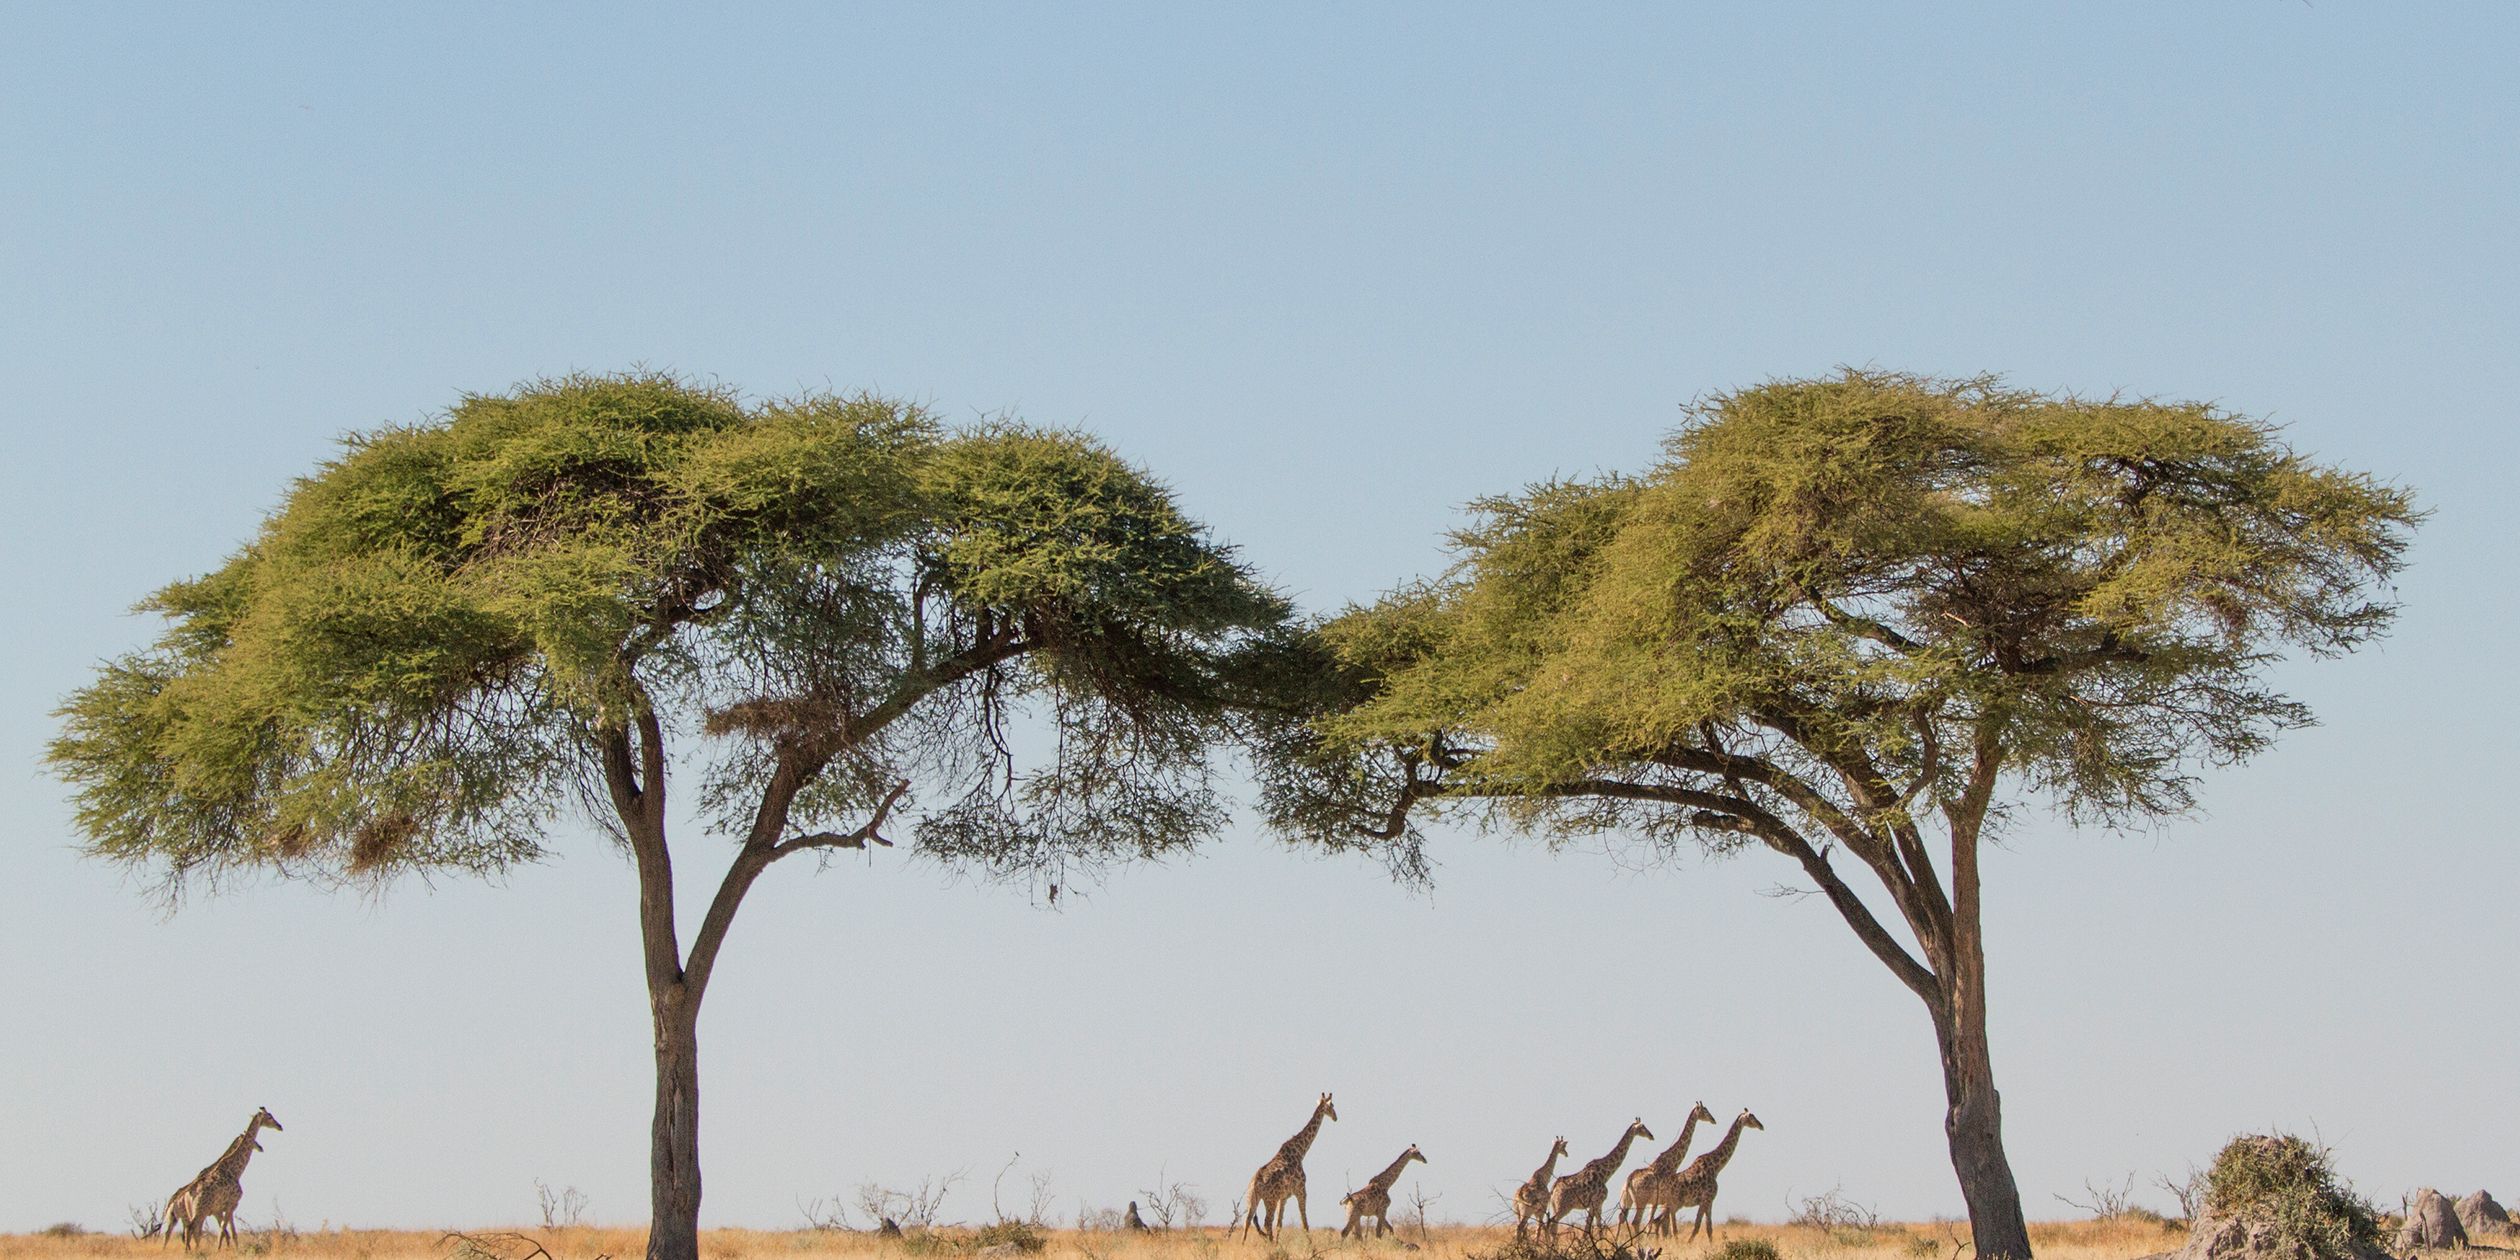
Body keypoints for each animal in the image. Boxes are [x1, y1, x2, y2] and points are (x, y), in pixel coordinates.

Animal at [164, 1108, 282, 1251]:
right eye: (269, 1116)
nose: (280, 1126)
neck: (235, 1171)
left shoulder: (221, 1209)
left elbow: (229, 1231)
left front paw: (230, 1249)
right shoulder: (231, 1204)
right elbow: (225, 1231)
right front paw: (220, 1250)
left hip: (185, 1215)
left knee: (180, 1231)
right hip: (198, 1211)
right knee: (192, 1229)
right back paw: (192, 1252)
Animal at [1239, 1092, 1336, 1239]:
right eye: (1332, 1105)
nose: (1336, 1117)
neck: (1300, 1151)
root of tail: (1255, 1182)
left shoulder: (1283, 1196)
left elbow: (1280, 1224)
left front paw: (1278, 1243)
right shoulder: (1301, 1190)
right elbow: (1305, 1223)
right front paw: (1311, 1245)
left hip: (1252, 1199)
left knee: (1247, 1221)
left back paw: (1245, 1244)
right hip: (1270, 1200)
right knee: (1267, 1222)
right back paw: (1269, 1242)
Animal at [1651, 1108, 1763, 1241]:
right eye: (1751, 1117)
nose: (1761, 1126)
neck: (1716, 1168)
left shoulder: (1710, 1201)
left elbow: (1709, 1227)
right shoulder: (1706, 1199)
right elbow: (1697, 1226)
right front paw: (1688, 1243)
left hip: (1671, 1204)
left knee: (1659, 1221)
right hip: (1673, 1203)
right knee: (1660, 1221)